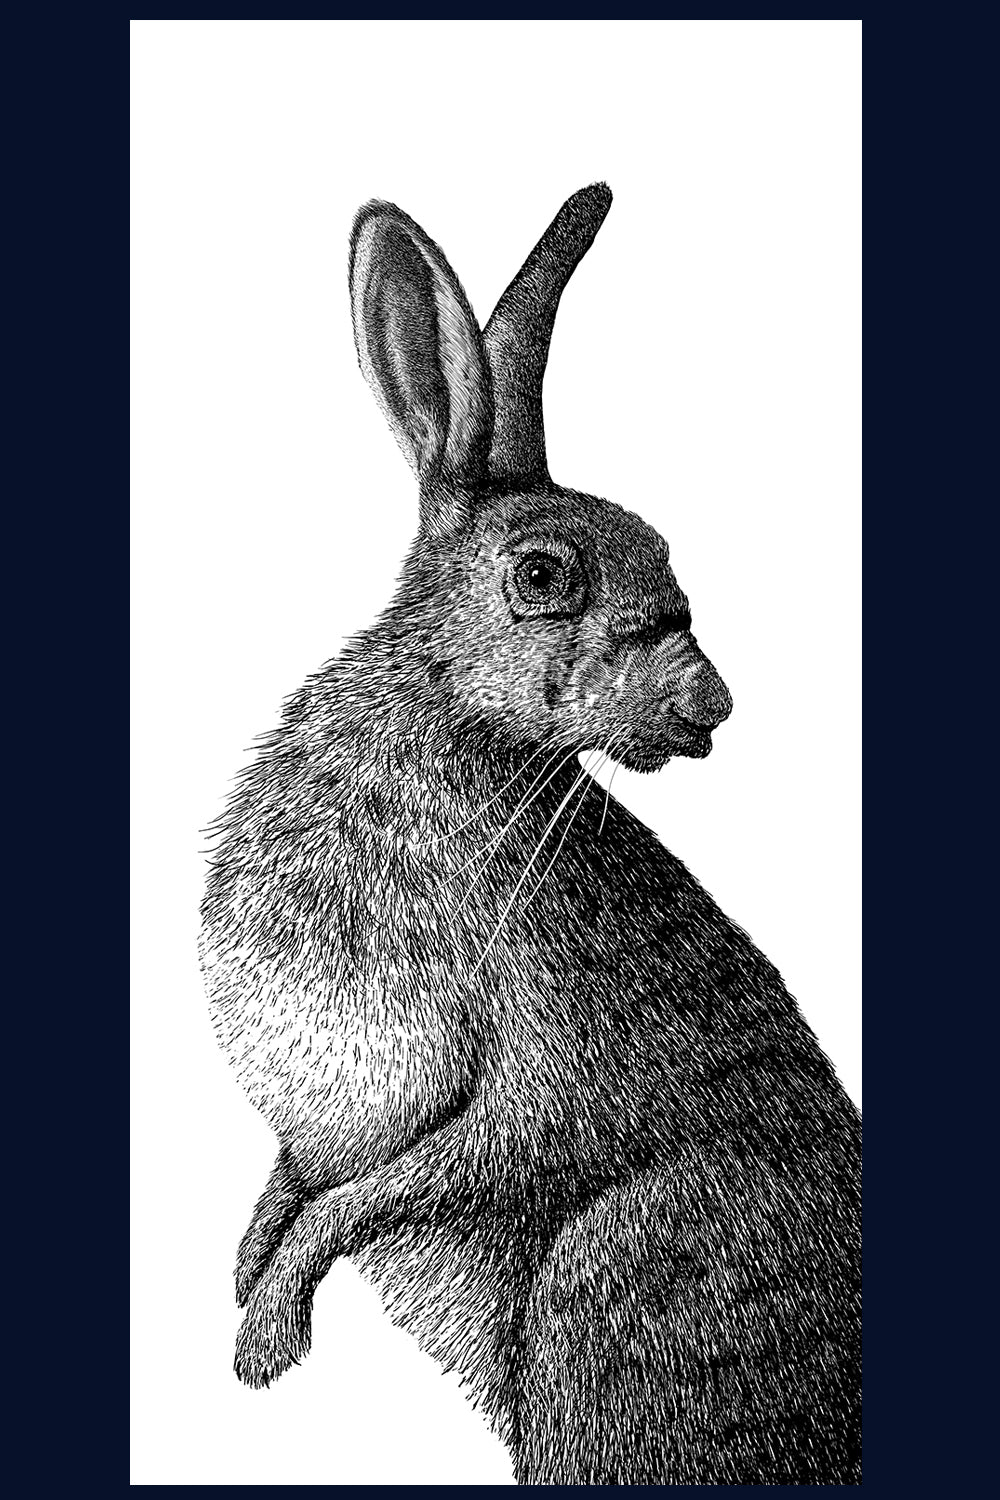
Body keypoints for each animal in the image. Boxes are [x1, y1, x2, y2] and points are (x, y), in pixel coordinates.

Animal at [200, 183, 861, 1486]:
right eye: (545, 576)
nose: (711, 709)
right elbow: (301, 1176)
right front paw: (241, 1276)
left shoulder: (542, 1075)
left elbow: (395, 1184)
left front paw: (264, 1339)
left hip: (614, 1285)